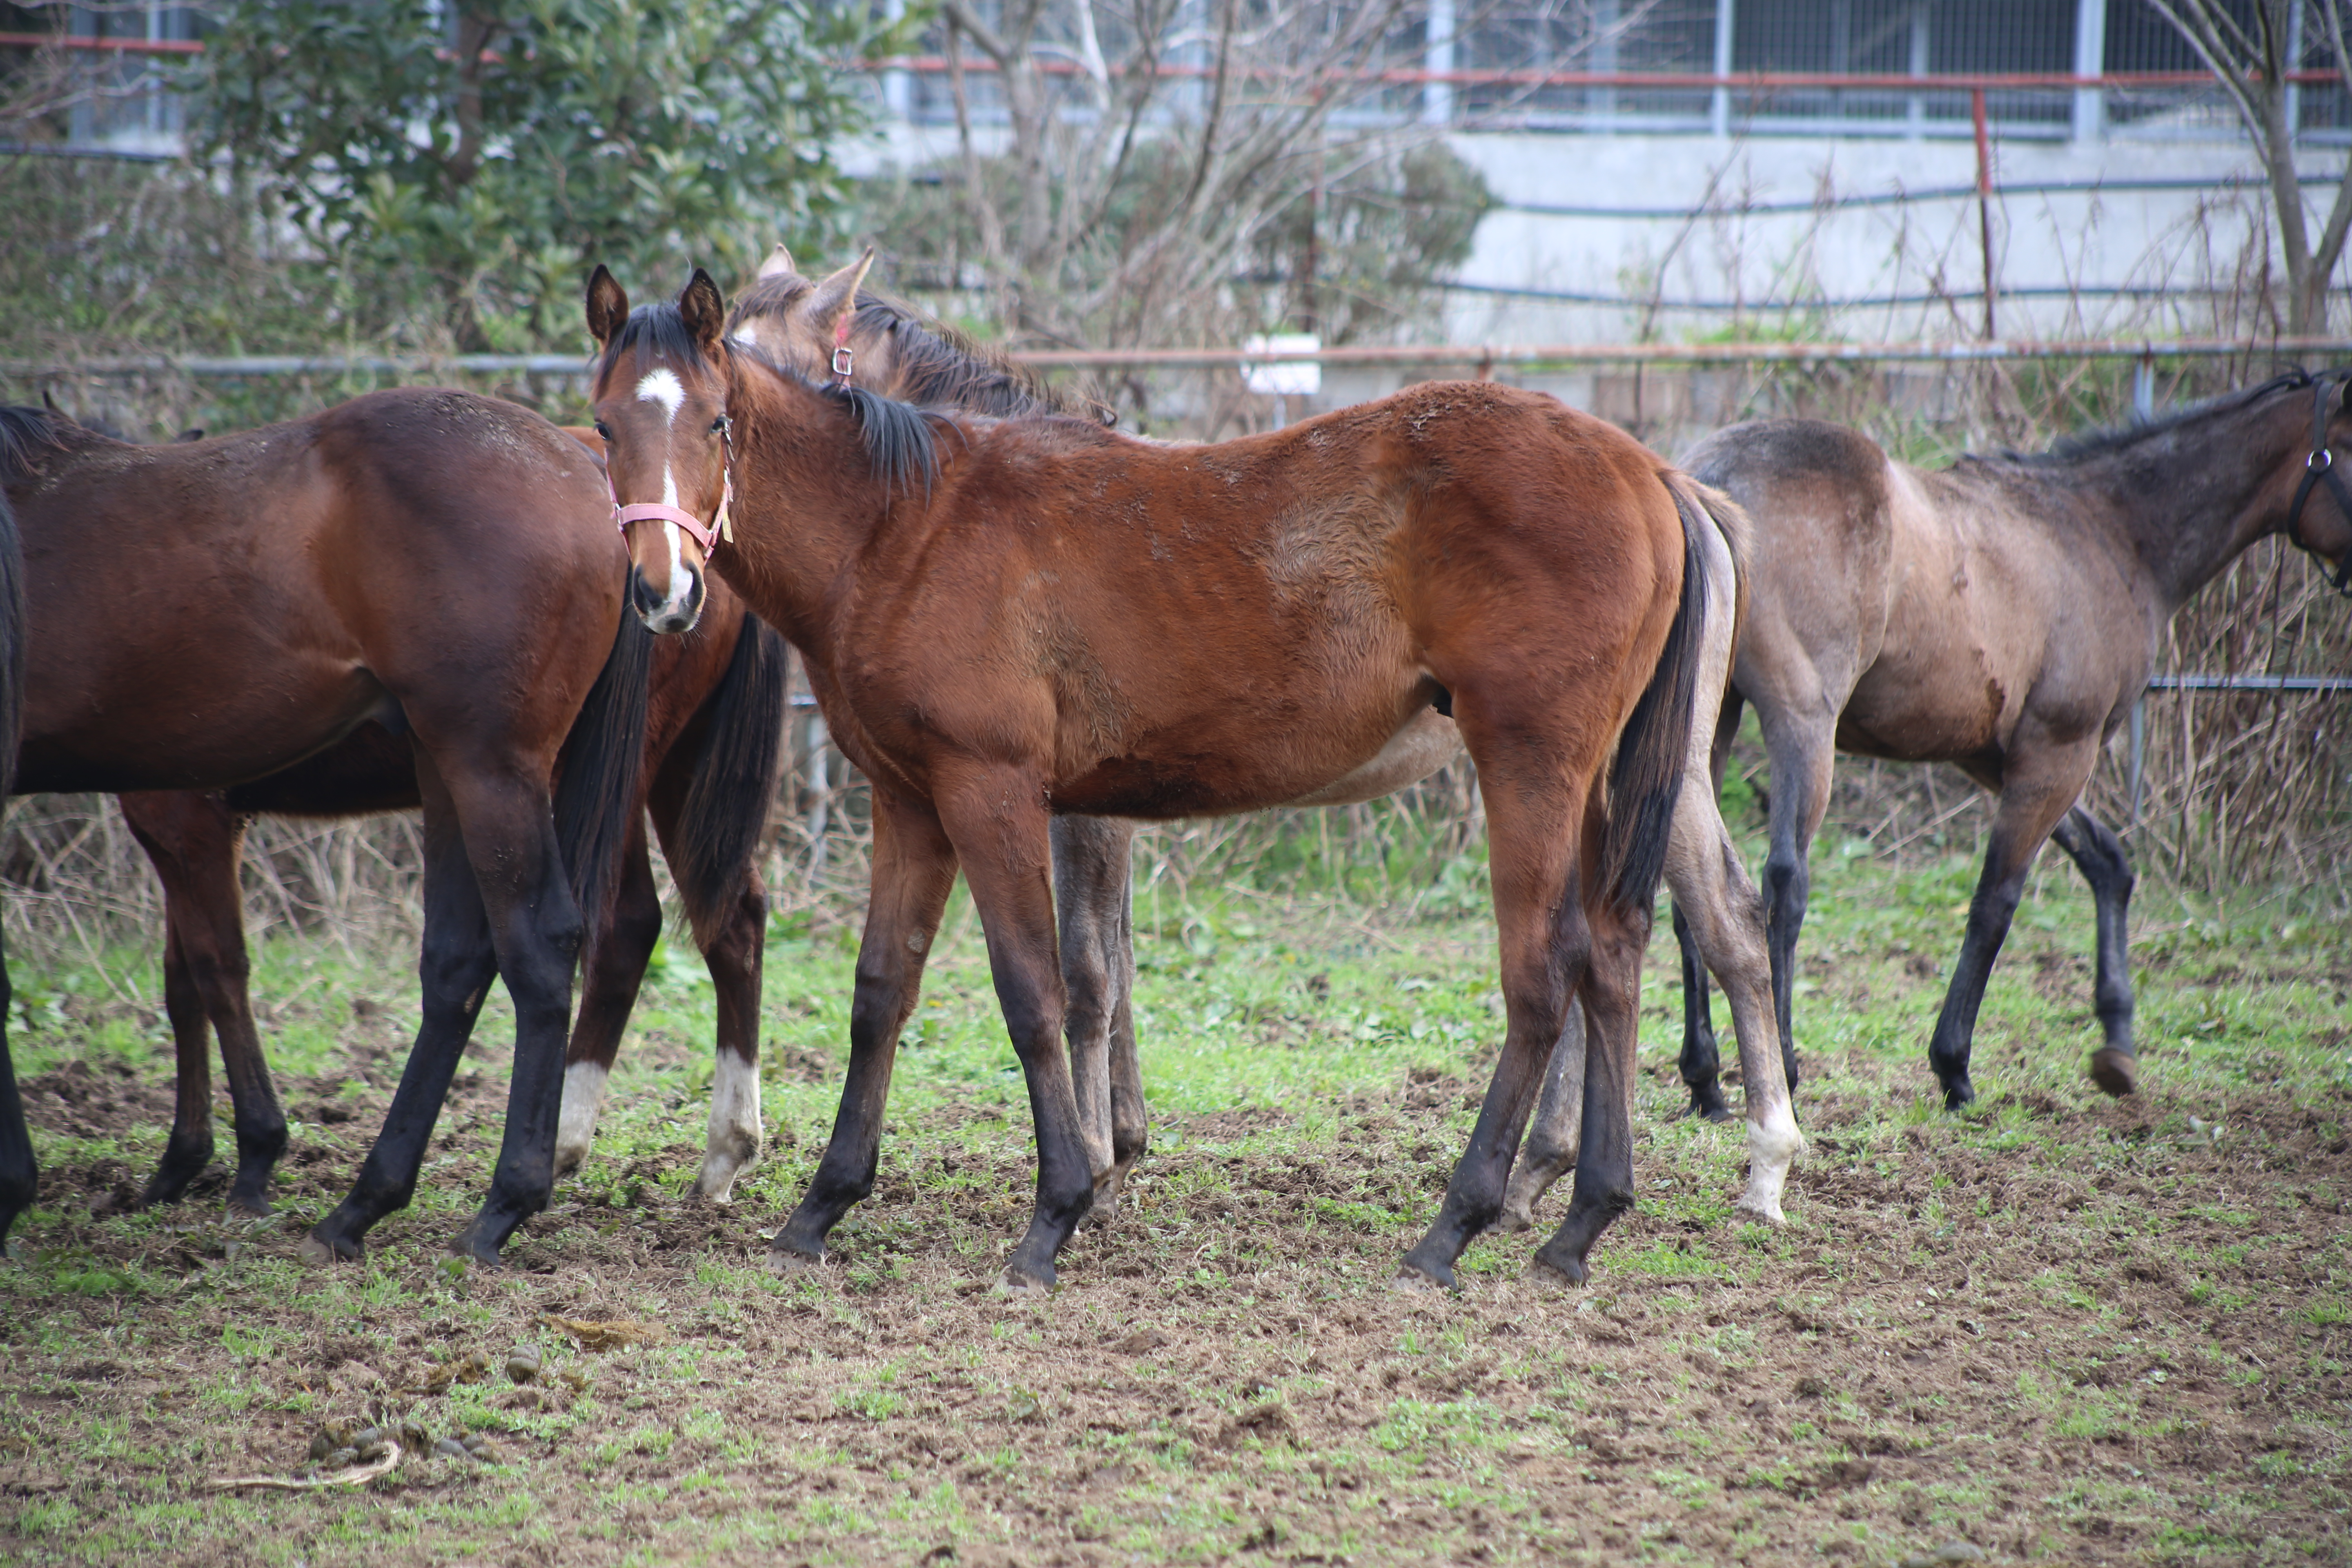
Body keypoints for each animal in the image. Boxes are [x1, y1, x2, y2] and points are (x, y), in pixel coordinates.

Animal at [0, 395, 654, 1260]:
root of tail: (582, 465)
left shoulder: (178, 818)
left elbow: (211, 969)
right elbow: (188, 979)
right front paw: (189, 1165)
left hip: (491, 765)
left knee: (540, 948)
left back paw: (503, 1204)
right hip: (447, 766)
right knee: (458, 961)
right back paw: (364, 1203)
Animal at [583, 270, 1731, 1297]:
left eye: (719, 421)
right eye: (601, 426)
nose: (664, 592)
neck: (905, 524)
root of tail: (1644, 469)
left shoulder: (993, 793)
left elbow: (1038, 992)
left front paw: (1056, 1214)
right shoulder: (910, 802)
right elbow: (880, 995)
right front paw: (821, 1207)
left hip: (1530, 768)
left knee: (1543, 975)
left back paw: (1455, 1225)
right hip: (1596, 787)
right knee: (1612, 958)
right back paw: (1580, 1221)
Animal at [1665, 376, 2352, 1114]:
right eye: (2350, 449)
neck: (2111, 534)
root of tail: (1712, 480)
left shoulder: (2001, 755)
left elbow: (2107, 862)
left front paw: (2117, 1041)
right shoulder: (2060, 751)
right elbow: (1995, 903)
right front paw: (1954, 1067)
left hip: (1711, 727)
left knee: (1694, 886)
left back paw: (1706, 1080)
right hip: (1802, 724)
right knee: (1784, 886)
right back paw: (1782, 1071)